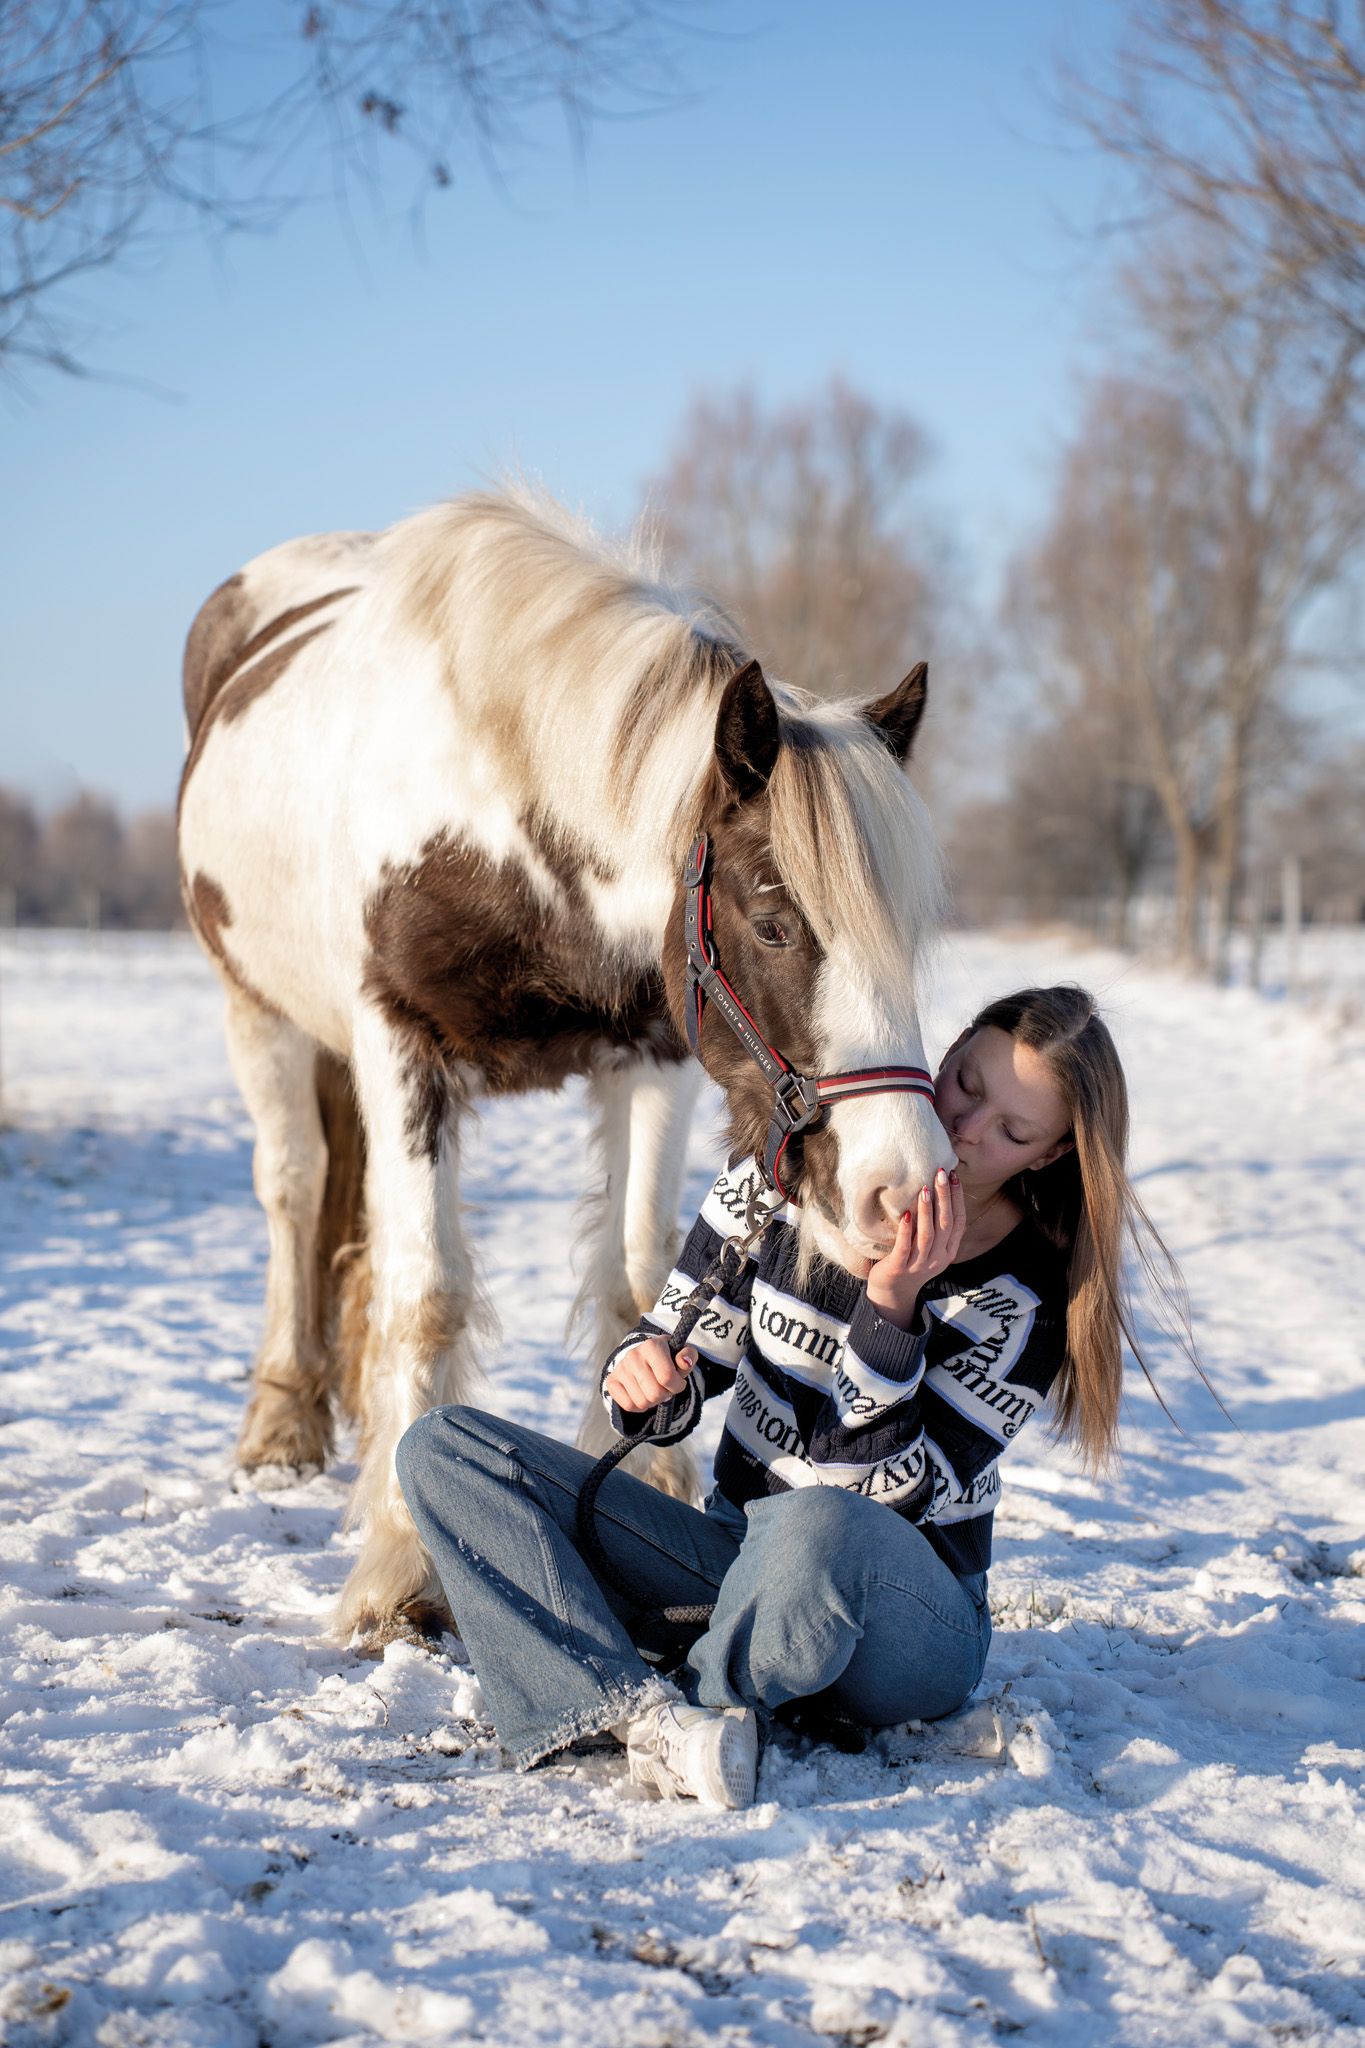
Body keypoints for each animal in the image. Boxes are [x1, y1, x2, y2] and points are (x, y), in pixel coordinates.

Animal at [177, 487, 954, 1650]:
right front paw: (400, 1564)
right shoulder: (397, 1045)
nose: (902, 1193)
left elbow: (638, 1277)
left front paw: (646, 1492)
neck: (496, 811)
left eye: (910, 935)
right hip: (257, 1015)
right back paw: (280, 1418)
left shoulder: (654, 1056)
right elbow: (426, 1293)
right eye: (775, 923)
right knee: (296, 1190)